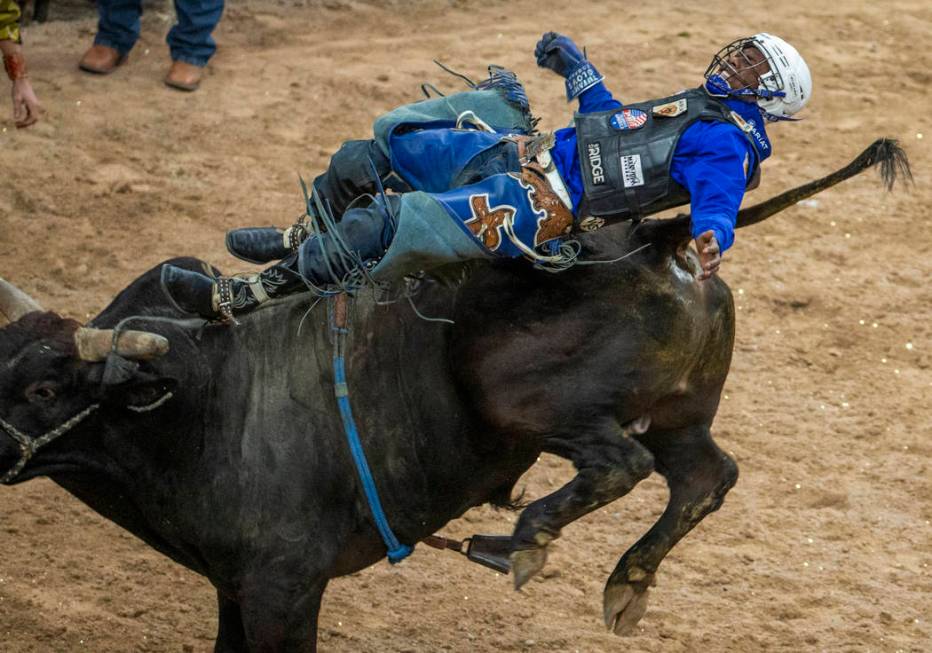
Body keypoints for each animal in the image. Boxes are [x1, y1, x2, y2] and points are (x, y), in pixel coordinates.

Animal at [0, 140, 908, 648]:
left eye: (45, 385)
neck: (213, 402)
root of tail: (666, 237)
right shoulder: (236, 589)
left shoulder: (281, 593)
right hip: (681, 410)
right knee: (702, 475)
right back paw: (625, 581)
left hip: (522, 394)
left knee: (622, 463)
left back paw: (525, 538)